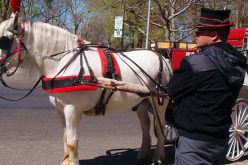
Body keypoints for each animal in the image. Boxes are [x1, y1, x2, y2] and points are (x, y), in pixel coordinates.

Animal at [0, 14, 171, 165]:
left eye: (3, 41)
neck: (63, 61)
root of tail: (163, 58)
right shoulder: (60, 109)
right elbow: (65, 137)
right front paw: (66, 160)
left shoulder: (72, 109)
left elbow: (72, 140)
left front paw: (72, 162)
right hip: (143, 101)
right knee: (145, 127)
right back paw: (142, 155)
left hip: (159, 101)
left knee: (160, 127)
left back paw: (158, 158)